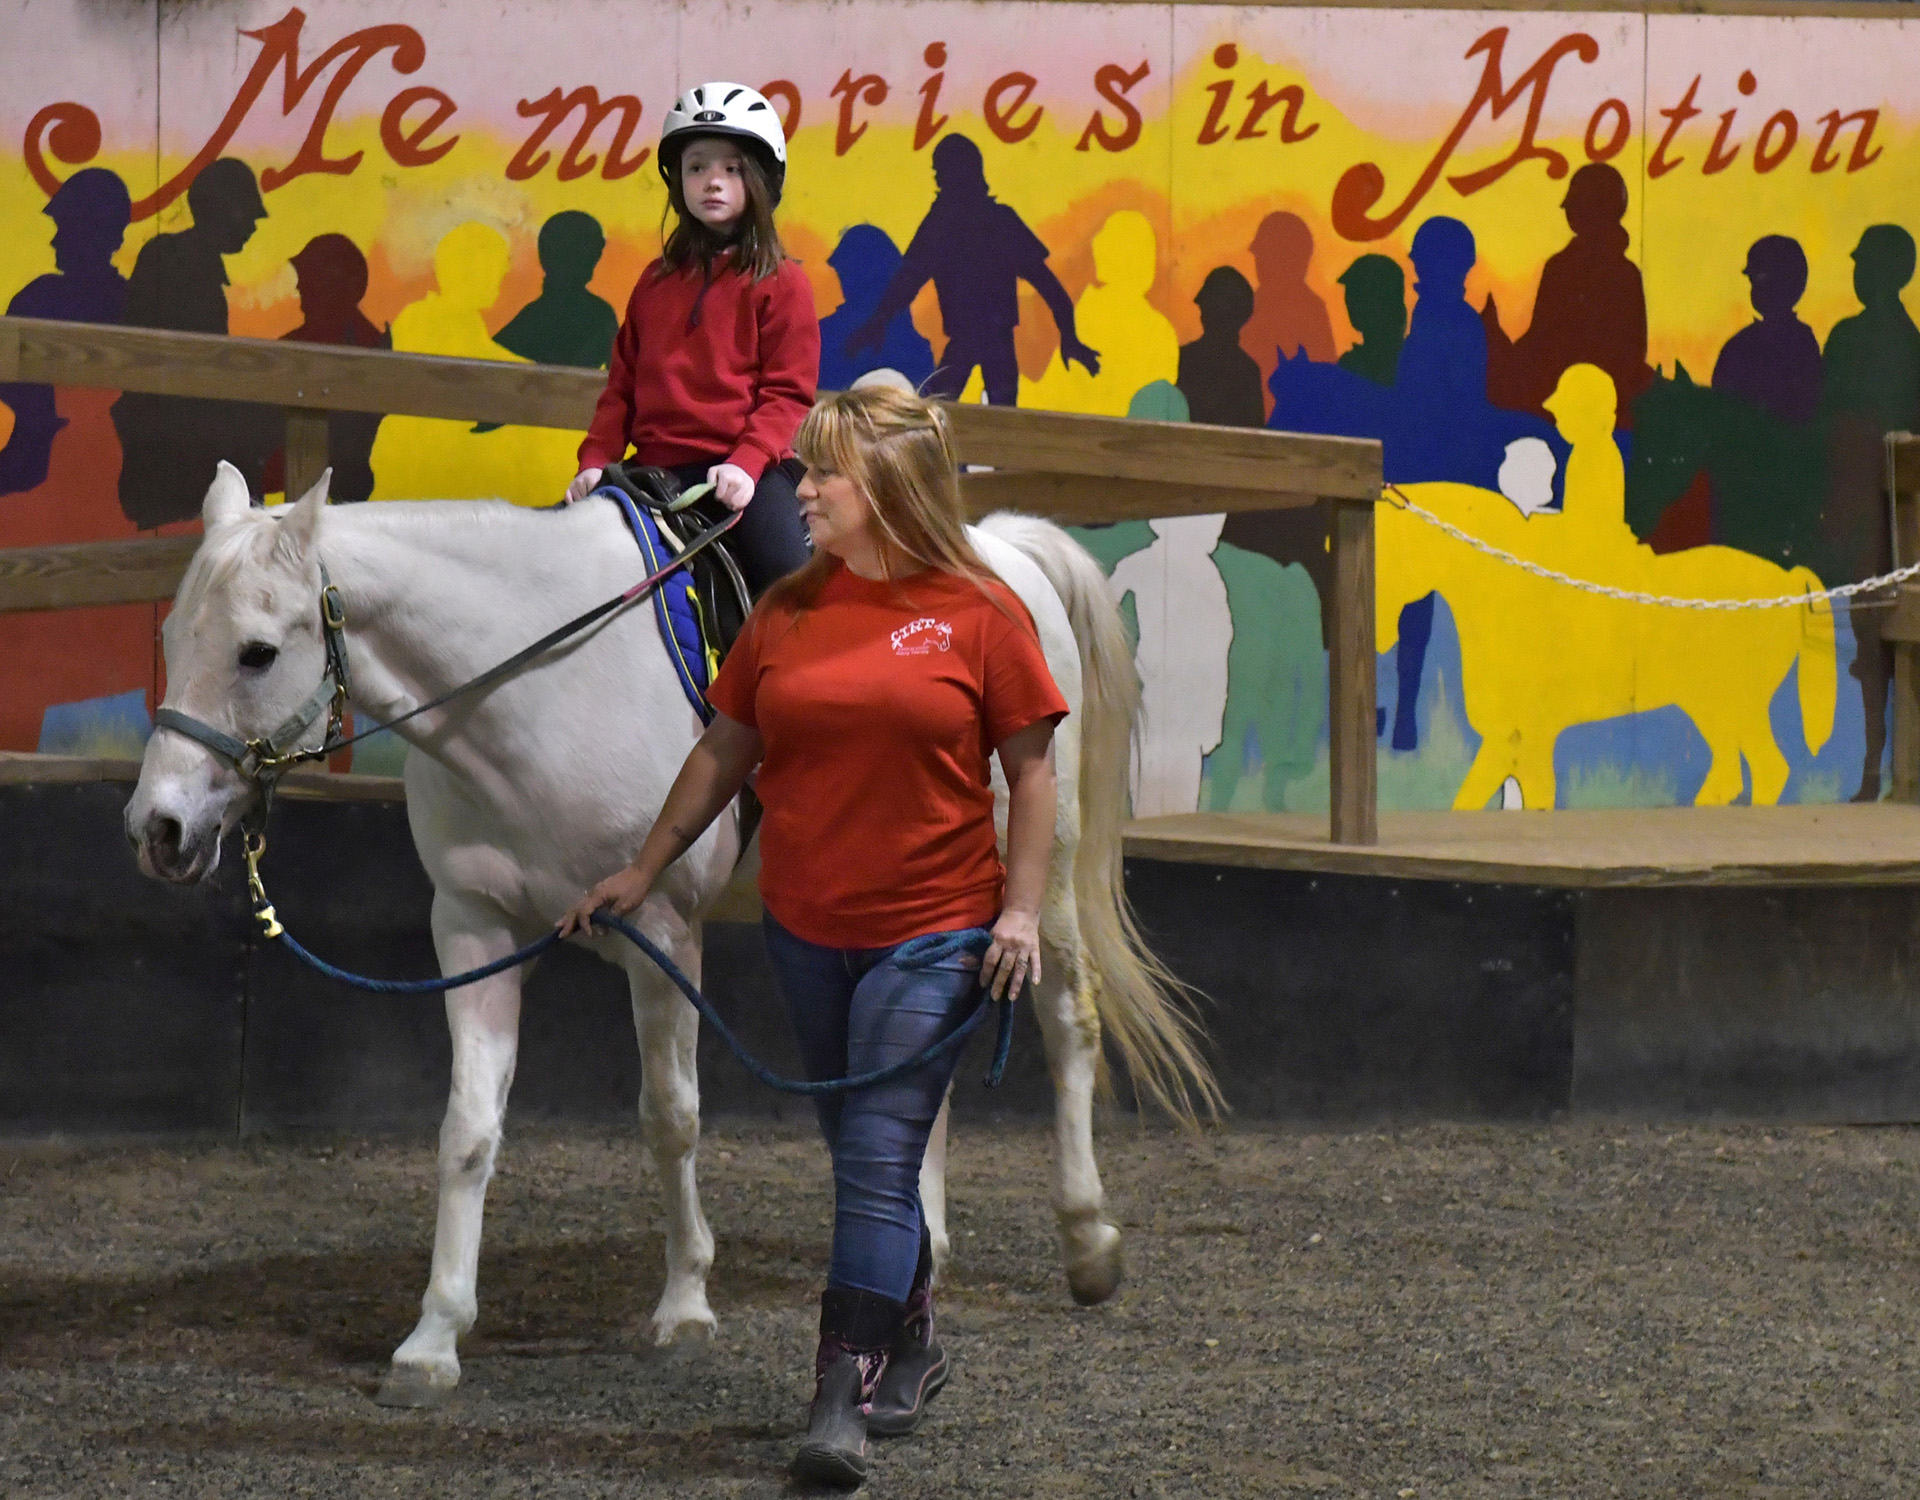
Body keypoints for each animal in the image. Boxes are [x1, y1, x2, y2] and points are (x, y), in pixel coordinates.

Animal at [127, 464, 1213, 1405]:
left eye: (258, 651)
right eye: (174, 633)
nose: (158, 829)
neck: (533, 691)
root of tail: (1002, 549)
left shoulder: (657, 929)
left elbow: (672, 1116)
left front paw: (686, 1303)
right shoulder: (472, 930)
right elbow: (467, 1132)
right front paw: (434, 1339)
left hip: (1044, 876)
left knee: (1068, 1026)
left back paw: (1087, 1242)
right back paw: (930, 1243)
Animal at [1374, 362, 1835, 806]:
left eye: (1386, 553)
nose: (1379, 636)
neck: (1503, 587)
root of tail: (1788, 580)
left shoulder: (1522, 738)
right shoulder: (1515, 741)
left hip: (1735, 702)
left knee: (1767, 769)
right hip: (1712, 704)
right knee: (1731, 773)